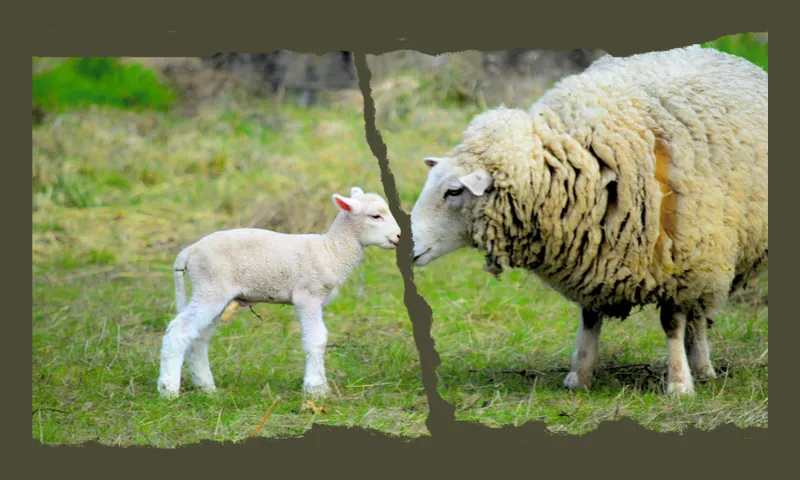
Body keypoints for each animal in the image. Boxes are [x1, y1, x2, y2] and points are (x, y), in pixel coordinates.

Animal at [157, 187, 402, 399]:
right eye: (376, 216)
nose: (399, 236)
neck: (331, 250)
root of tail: (190, 251)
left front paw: (320, 386)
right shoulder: (308, 295)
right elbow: (317, 338)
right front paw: (316, 389)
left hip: (213, 292)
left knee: (198, 338)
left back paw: (207, 388)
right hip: (211, 287)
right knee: (179, 330)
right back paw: (168, 391)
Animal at [408, 45, 768, 396]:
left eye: (454, 191)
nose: (407, 245)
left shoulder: (680, 259)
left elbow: (672, 323)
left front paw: (679, 384)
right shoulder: (592, 254)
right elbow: (589, 318)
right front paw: (579, 375)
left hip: (711, 251)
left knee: (696, 316)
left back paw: (702, 368)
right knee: (699, 314)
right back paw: (704, 369)